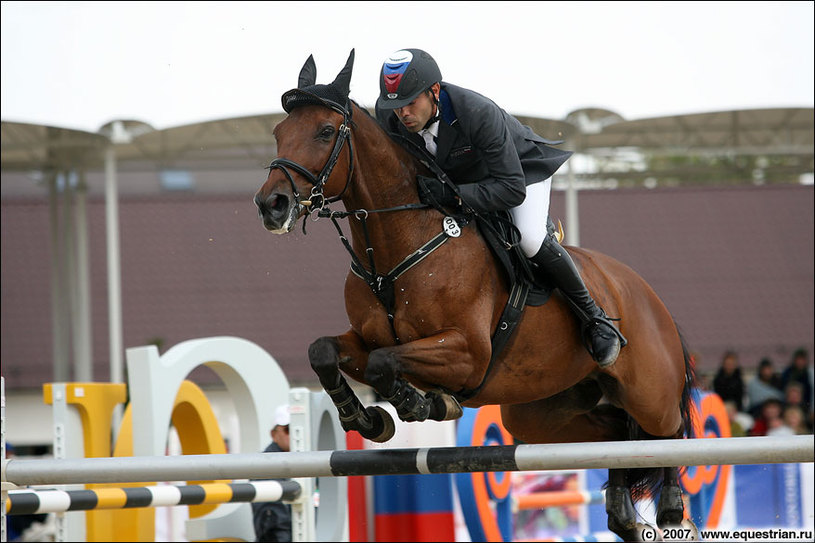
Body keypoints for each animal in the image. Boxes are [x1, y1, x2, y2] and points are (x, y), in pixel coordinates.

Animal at [256, 50, 700, 540]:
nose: (271, 205)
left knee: (669, 433)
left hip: (648, 393)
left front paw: (420, 402)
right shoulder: (366, 339)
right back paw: (621, 512)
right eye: (279, 133)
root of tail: (648, 294)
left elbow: (383, 363)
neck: (397, 247)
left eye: (325, 131)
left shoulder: (467, 352)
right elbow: (325, 352)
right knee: (618, 434)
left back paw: (671, 508)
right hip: (540, 413)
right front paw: (366, 419)